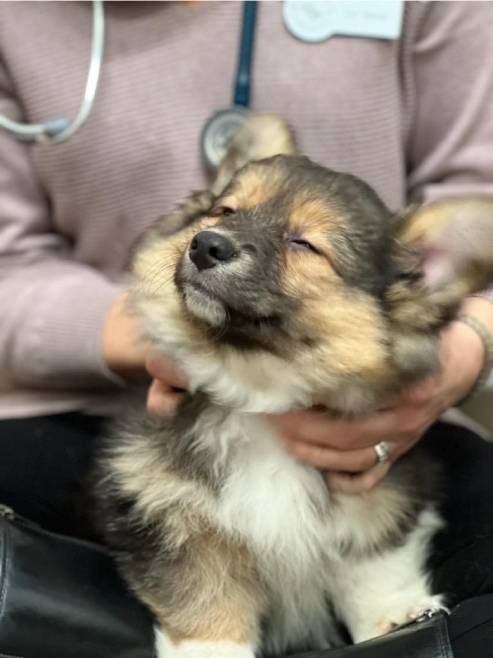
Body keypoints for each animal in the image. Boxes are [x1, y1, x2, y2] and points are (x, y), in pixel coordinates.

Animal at [94, 124, 492, 656]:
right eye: (226, 211)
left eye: (304, 243)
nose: (205, 244)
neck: (255, 393)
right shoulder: (172, 512)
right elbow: (204, 595)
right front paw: (213, 650)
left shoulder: (382, 497)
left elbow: (375, 565)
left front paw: (396, 616)